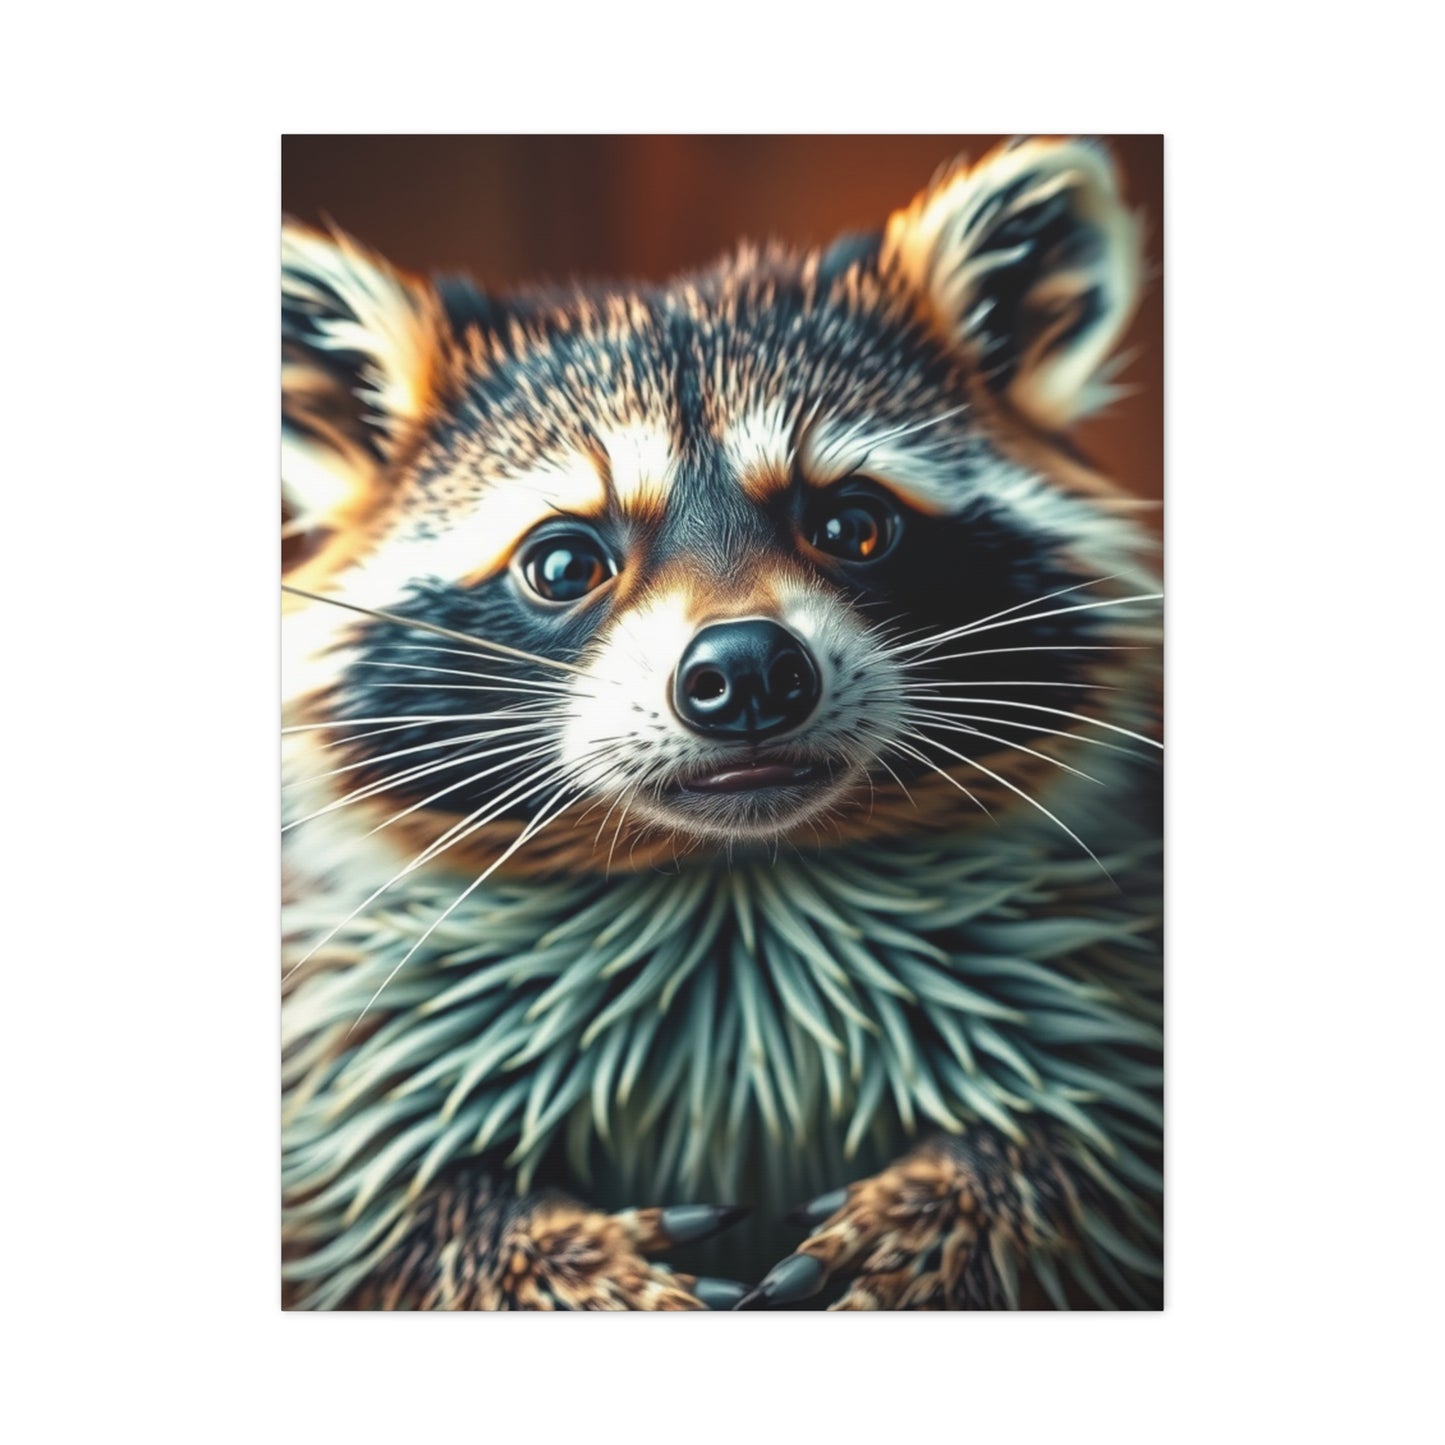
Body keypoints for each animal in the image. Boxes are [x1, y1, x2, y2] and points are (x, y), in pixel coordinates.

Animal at [281, 137, 1163, 1310]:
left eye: (852, 524)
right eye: (563, 562)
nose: (745, 672)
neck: (732, 877)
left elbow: (1083, 1153)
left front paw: (960, 1201)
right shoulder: (356, 1040)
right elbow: (390, 1212)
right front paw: (542, 1254)